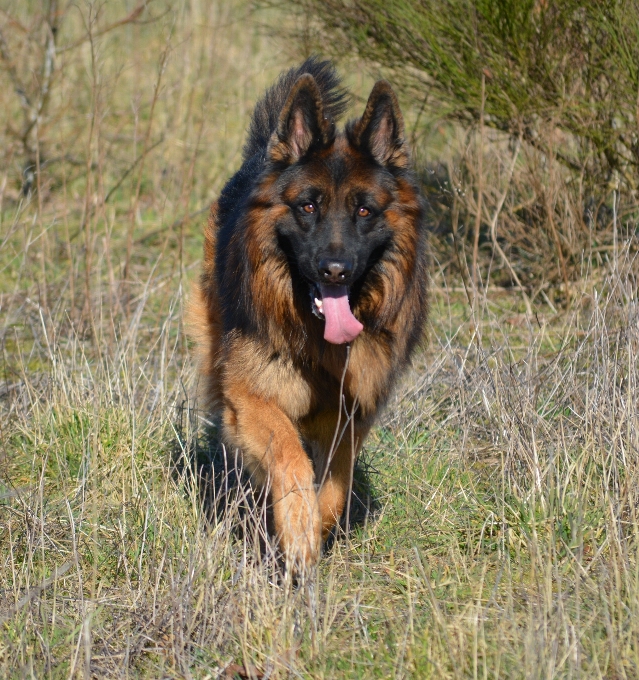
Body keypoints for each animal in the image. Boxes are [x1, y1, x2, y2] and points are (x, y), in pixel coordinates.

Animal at [189, 57, 430, 568]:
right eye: (308, 206)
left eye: (364, 211)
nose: (334, 270)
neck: (320, 342)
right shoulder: (252, 396)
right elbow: (289, 455)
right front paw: (298, 533)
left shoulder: (351, 413)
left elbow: (337, 484)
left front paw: (315, 527)